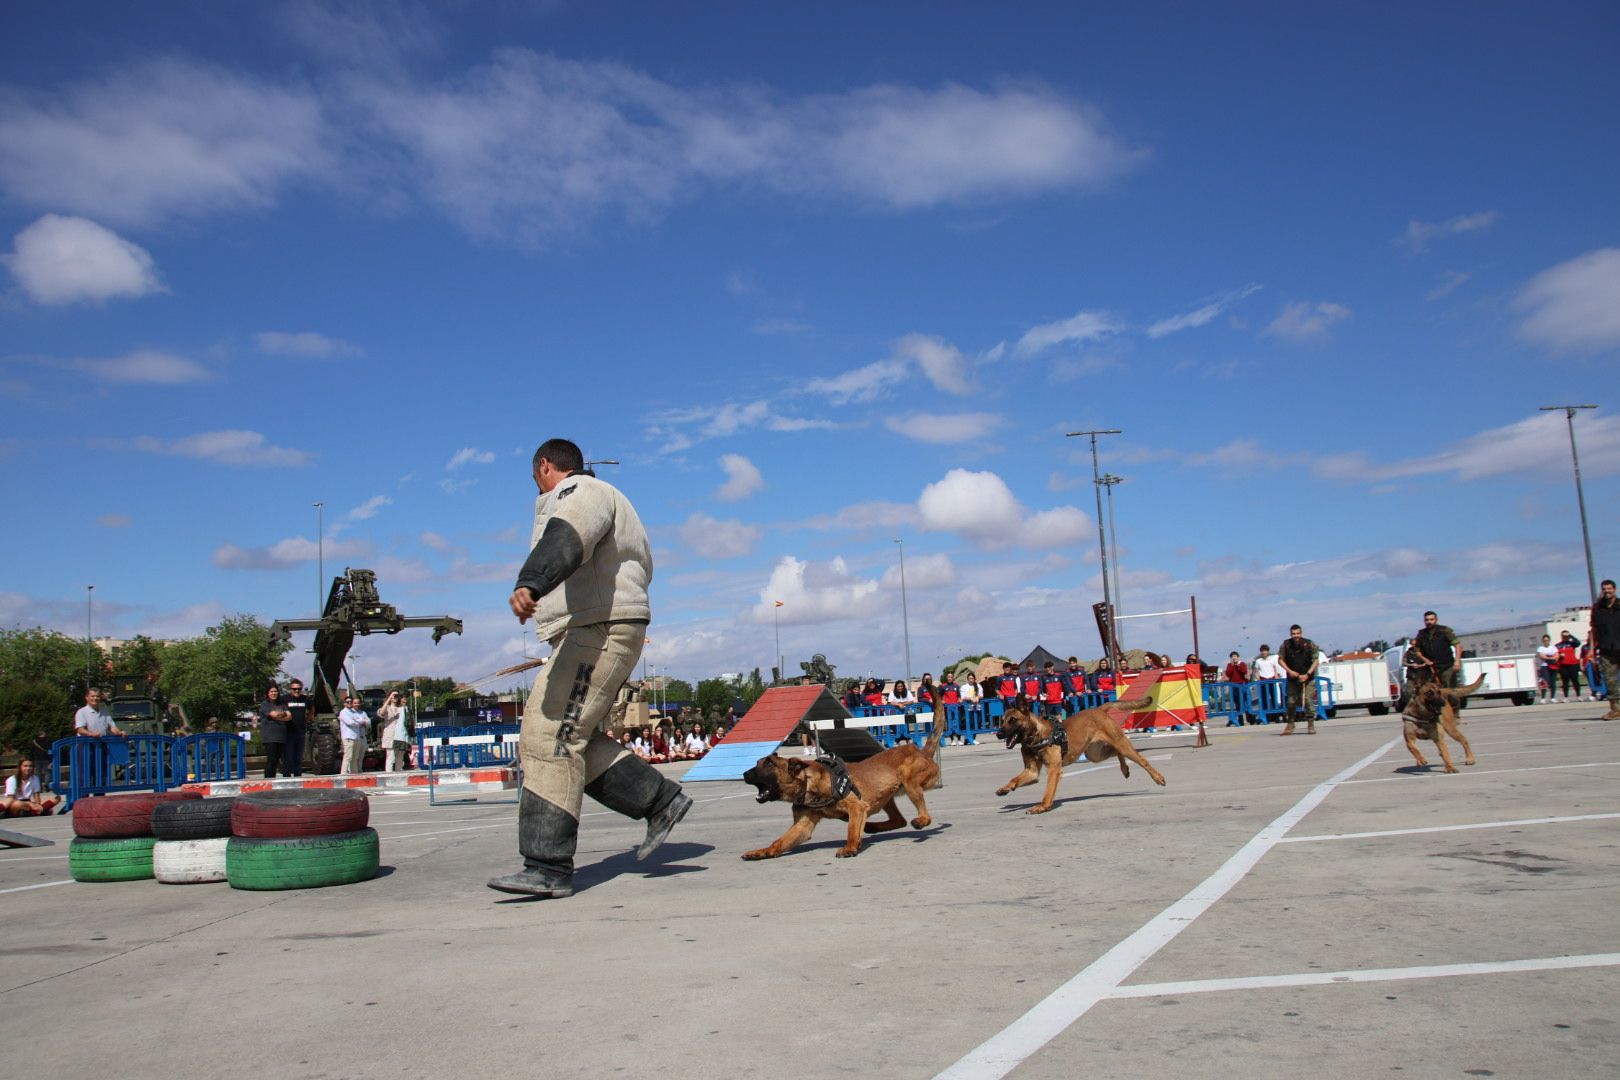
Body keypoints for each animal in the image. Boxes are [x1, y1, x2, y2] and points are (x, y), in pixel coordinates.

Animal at [492, 433, 696, 900]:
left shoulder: (575, 500)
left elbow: (568, 533)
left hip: (589, 655)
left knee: (552, 740)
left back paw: (541, 874)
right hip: (604, 678)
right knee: (589, 746)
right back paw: (665, 808)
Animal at [741, 702, 946, 861]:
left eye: (769, 764)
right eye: (757, 763)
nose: (744, 774)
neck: (808, 784)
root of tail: (922, 751)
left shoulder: (857, 807)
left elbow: (851, 830)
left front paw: (850, 847)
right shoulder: (802, 826)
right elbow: (780, 841)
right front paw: (762, 851)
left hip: (910, 781)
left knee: (924, 815)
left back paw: (919, 821)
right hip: (884, 796)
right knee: (899, 820)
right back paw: (874, 826)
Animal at [984, 696, 1166, 816]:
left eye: (1013, 720)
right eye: (1002, 721)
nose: (999, 734)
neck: (1036, 736)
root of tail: (1099, 709)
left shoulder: (1054, 770)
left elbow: (1048, 791)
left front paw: (1042, 806)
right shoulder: (1032, 772)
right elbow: (1014, 779)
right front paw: (1005, 789)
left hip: (1120, 744)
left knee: (1141, 760)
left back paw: (1157, 777)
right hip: (1095, 754)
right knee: (1116, 752)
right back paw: (1125, 769)